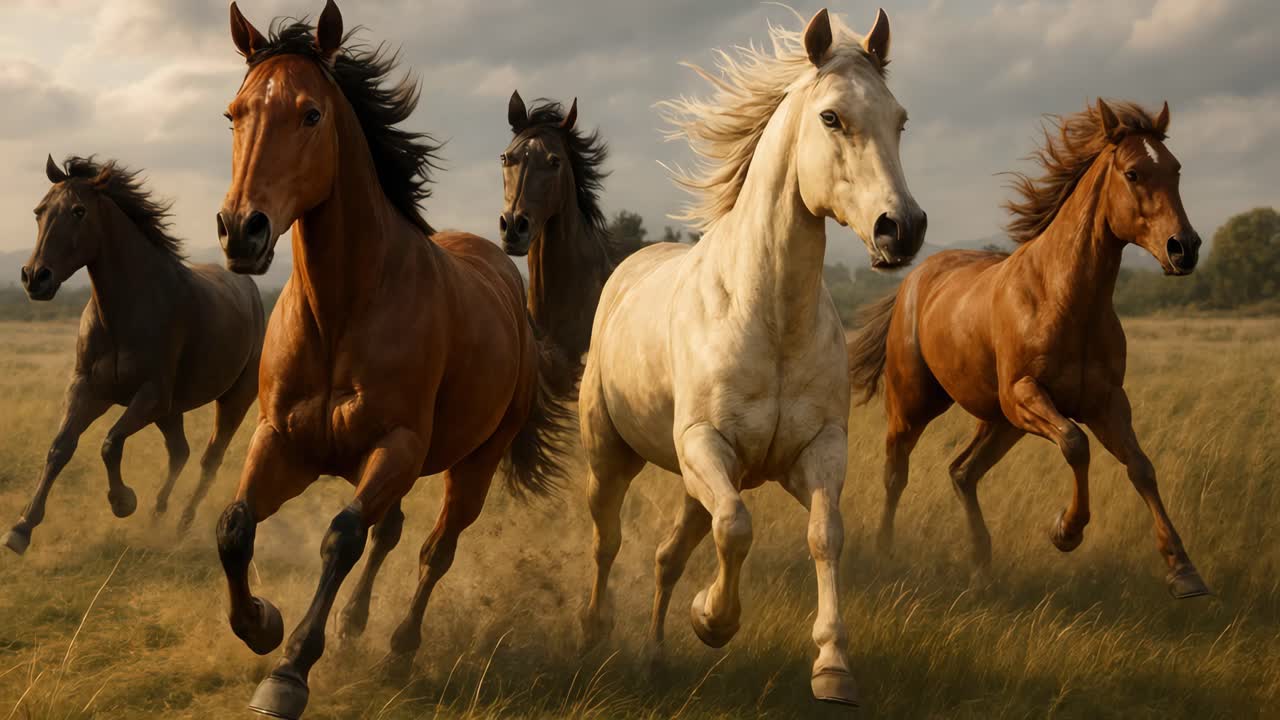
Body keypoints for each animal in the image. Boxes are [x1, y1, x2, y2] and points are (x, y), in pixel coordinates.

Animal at [4, 156, 263, 556]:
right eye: (39, 211)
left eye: (79, 211)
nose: (35, 278)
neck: (124, 313)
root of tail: (249, 288)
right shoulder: (89, 390)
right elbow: (60, 448)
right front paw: (21, 528)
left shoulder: (150, 395)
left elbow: (110, 443)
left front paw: (123, 501)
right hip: (172, 410)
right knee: (180, 452)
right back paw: (158, 515)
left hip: (233, 399)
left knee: (209, 459)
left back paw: (182, 524)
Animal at [212, 3, 571, 718]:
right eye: (235, 113)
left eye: (310, 114)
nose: (242, 230)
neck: (343, 311)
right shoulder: (281, 440)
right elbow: (235, 527)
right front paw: (262, 623)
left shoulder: (396, 445)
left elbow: (342, 536)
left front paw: (289, 671)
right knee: (393, 533)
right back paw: (355, 625)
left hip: (472, 464)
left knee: (436, 548)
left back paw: (401, 646)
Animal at [577, 9, 925, 706]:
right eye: (832, 117)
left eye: (899, 119)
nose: (901, 228)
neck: (769, 318)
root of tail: (627, 269)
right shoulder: (706, 444)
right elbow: (737, 528)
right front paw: (713, 620)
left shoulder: (815, 450)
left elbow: (824, 536)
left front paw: (832, 667)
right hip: (615, 456)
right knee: (608, 541)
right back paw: (597, 634)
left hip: (697, 477)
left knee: (668, 554)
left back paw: (655, 658)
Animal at [848, 100, 1210, 599]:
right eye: (1134, 173)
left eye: (1175, 169)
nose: (1184, 249)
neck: (1063, 299)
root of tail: (914, 280)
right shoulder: (1026, 394)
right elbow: (1076, 445)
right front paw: (1066, 530)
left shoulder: (1107, 402)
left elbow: (1140, 466)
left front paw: (1183, 570)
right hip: (917, 404)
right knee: (896, 472)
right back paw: (884, 552)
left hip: (999, 422)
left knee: (962, 472)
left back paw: (982, 566)